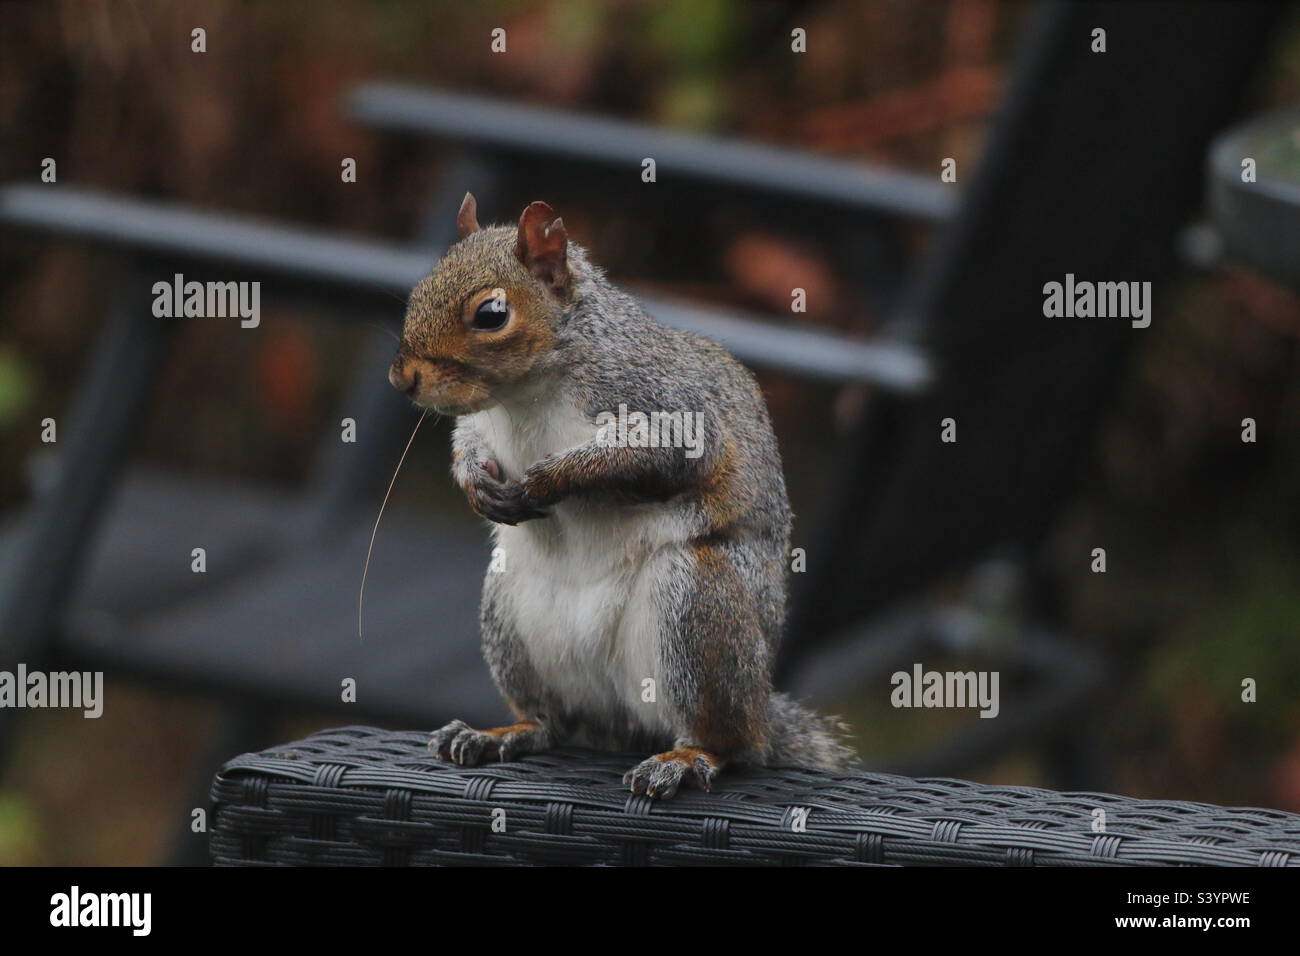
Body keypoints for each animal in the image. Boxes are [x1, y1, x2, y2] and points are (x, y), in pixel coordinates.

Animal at [388, 193, 854, 798]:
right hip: (509, 614)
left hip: (698, 606)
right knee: (553, 723)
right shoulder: (483, 424)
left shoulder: (663, 404)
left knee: (730, 741)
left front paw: (549, 477)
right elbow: (468, 443)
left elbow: (657, 456)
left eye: (491, 314)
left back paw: (687, 757)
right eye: (422, 287)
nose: (403, 378)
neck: (525, 396)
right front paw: (478, 485)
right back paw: (504, 732)